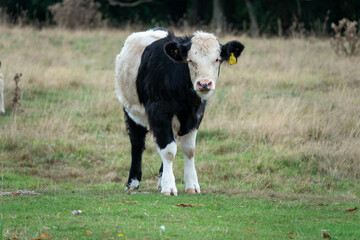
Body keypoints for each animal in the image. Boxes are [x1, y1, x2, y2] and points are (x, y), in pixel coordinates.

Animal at [115, 28, 245, 195]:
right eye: (190, 60)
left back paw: (160, 181)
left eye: (217, 59)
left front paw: (192, 185)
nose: (204, 84)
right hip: (131, 111)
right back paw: (133, 183)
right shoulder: (159, 112)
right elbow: (169, 151)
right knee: (137, 145)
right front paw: (169, 186)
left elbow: (188, 150)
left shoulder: (196, 115)